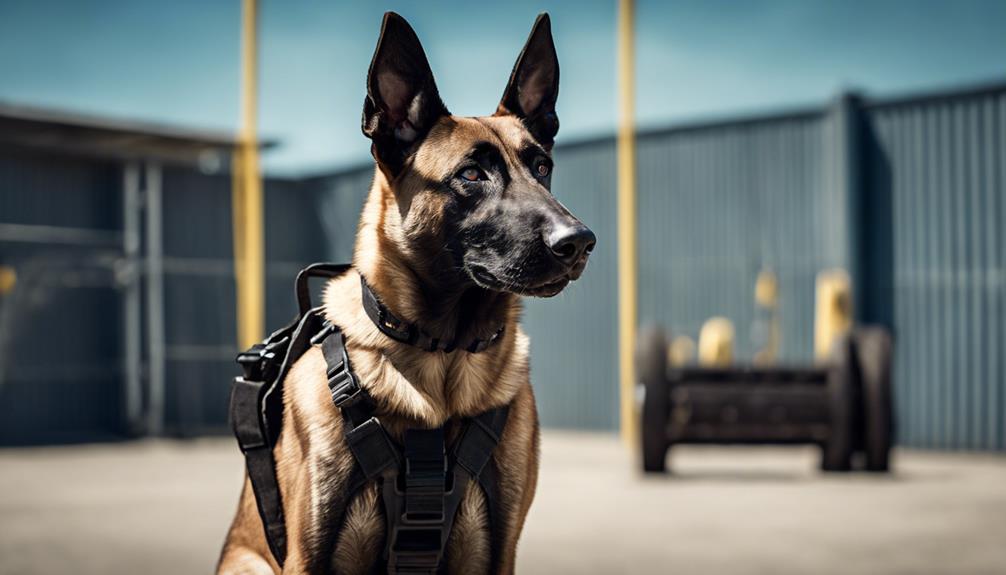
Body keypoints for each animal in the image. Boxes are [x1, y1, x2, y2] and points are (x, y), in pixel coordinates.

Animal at [217, 11, 591, 570]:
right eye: (471, 174)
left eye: (542, 167)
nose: (579, 242)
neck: (442, 357)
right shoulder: (308, 555)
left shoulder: (498, 551)